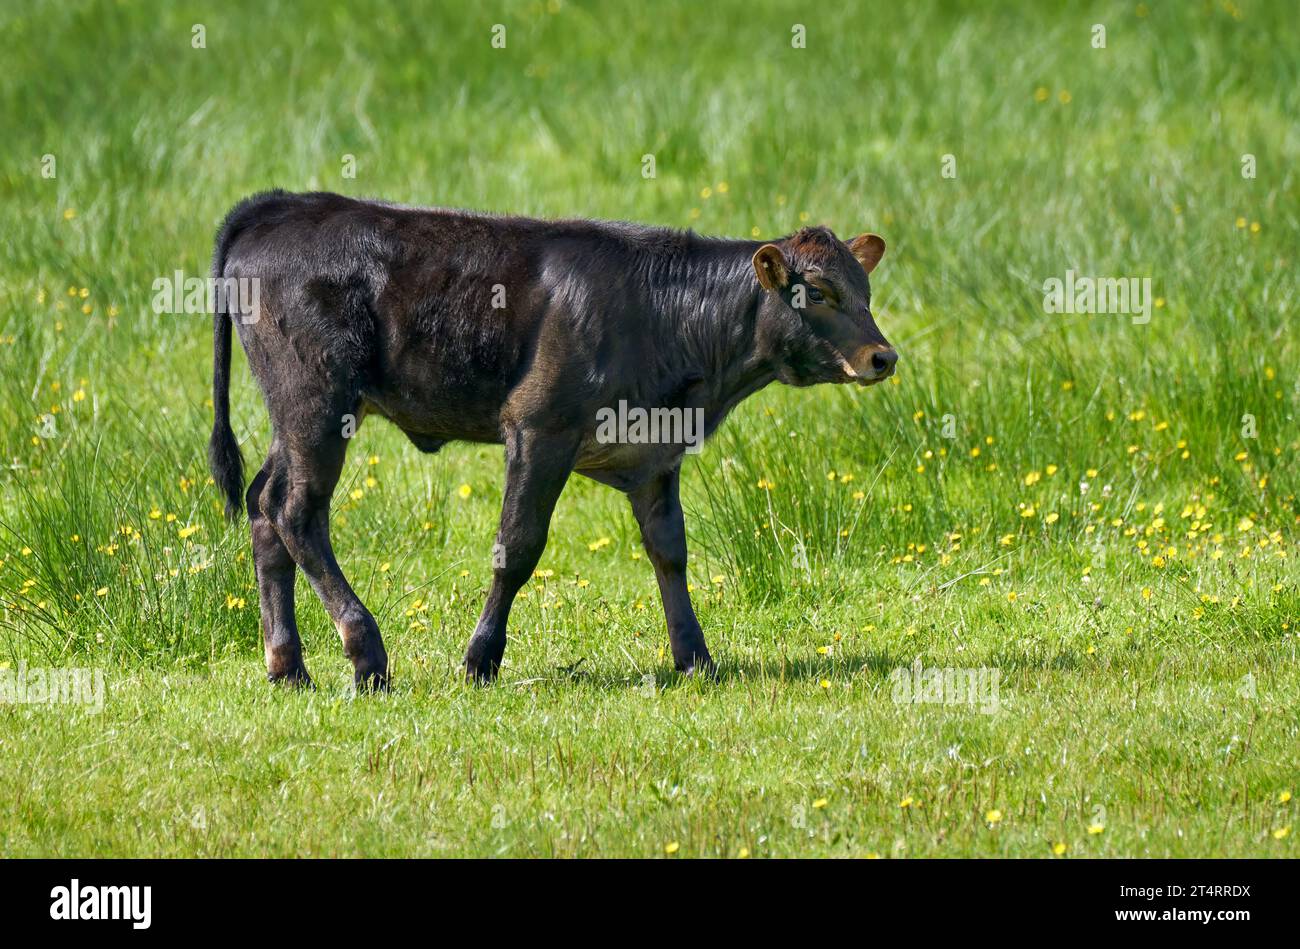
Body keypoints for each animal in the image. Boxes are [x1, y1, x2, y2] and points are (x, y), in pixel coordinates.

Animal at [208, 188, 894, 686]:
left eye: (865, 291)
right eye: (817, 292)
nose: (882, 357)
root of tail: (281, 205)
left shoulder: (655, 455)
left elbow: (670, 551)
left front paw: (695, 658)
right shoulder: (539, 429)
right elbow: (517, 547)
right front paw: (480, 660)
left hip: (293, 416)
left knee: (264, 507)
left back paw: (288, 667)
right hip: (317, 403)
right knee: (296, 512)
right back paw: (366, 654)